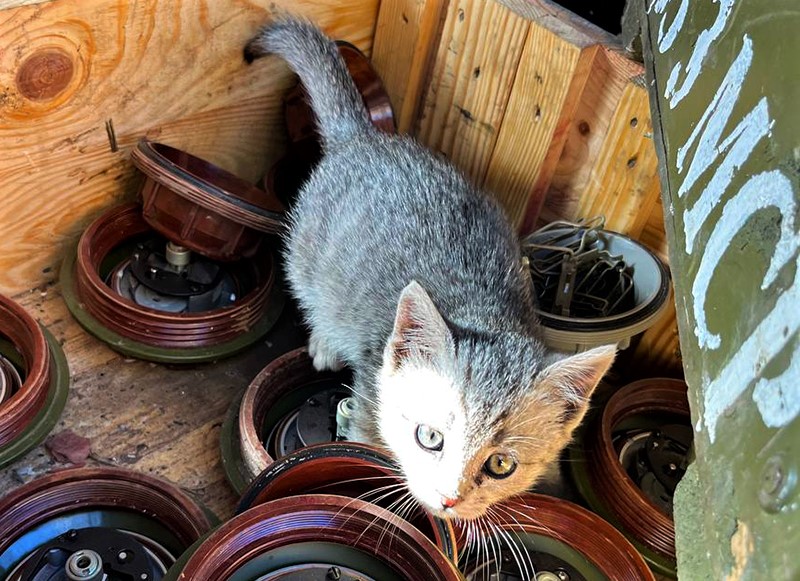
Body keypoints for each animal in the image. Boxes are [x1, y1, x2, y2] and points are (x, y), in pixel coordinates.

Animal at [247, 18, 616, 520]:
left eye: (501, 465)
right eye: (430, 438)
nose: (449, 498)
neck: (484, 311)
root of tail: (366, 137)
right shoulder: (369, 389)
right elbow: (363, 442)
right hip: (307, 258)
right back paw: (323, 340)